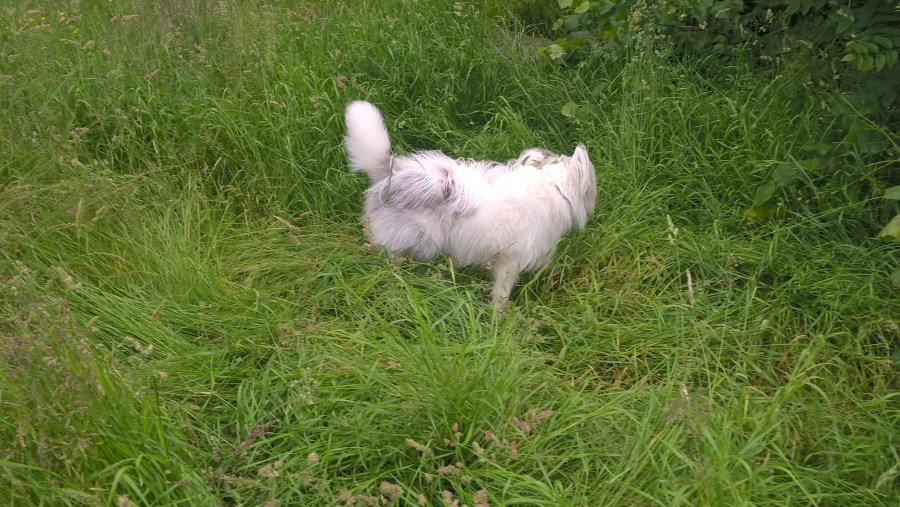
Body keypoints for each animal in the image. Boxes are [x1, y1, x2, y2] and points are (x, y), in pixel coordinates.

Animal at [344, 100, 597, 308]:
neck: (551, 184)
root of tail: (389, 172)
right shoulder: (510, 263)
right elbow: (501, 295)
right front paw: (498, 319)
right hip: (404, 239)